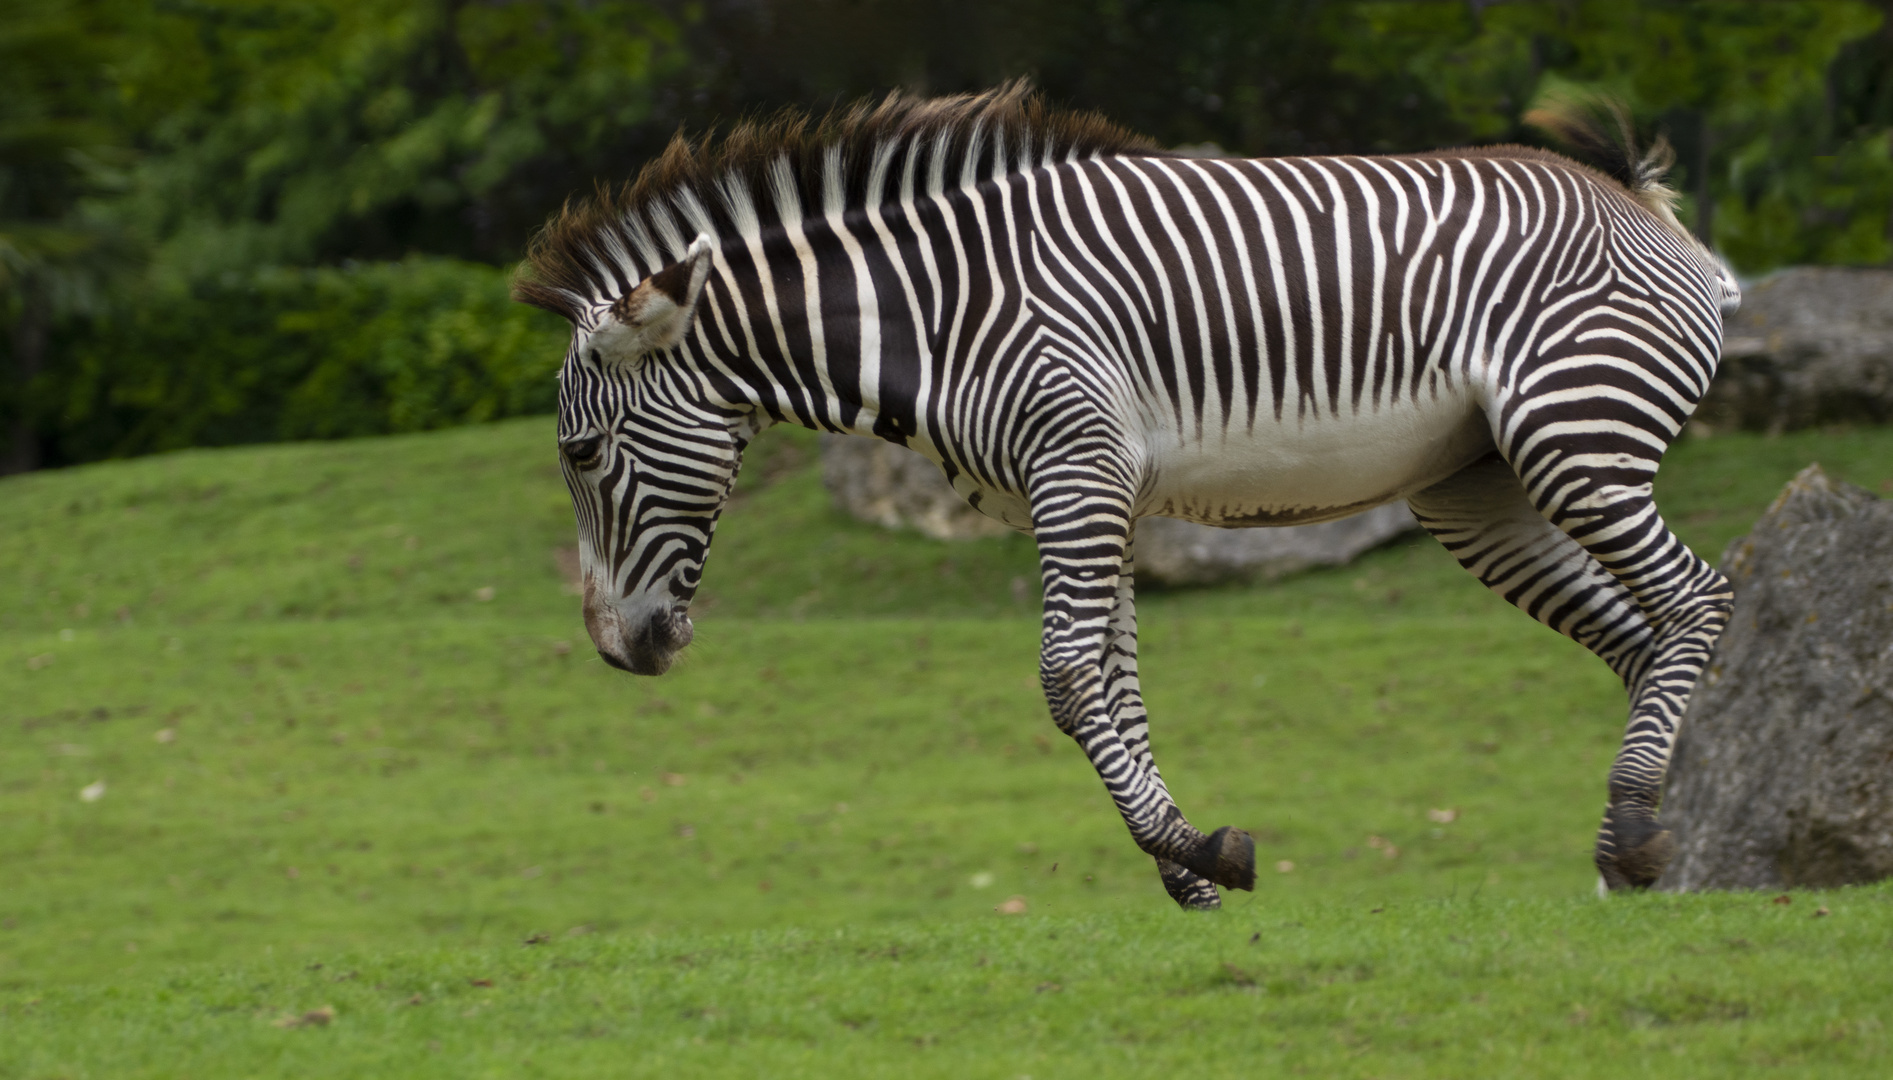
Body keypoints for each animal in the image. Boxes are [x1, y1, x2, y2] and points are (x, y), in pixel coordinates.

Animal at [518, 86, 1741, 911]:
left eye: (580, 454)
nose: (619, 653)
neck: (933, 315)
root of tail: (1636, 199)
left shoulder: (1080, 468)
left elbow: (1067, 683)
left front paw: (1192, 854)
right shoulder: (1086, 492)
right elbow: (1114, 682)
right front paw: (1185, 861)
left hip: (1570, 432)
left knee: (1700, 601)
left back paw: (1638, 829)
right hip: (1474, 489)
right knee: (1638, 636)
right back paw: (1631, 851)